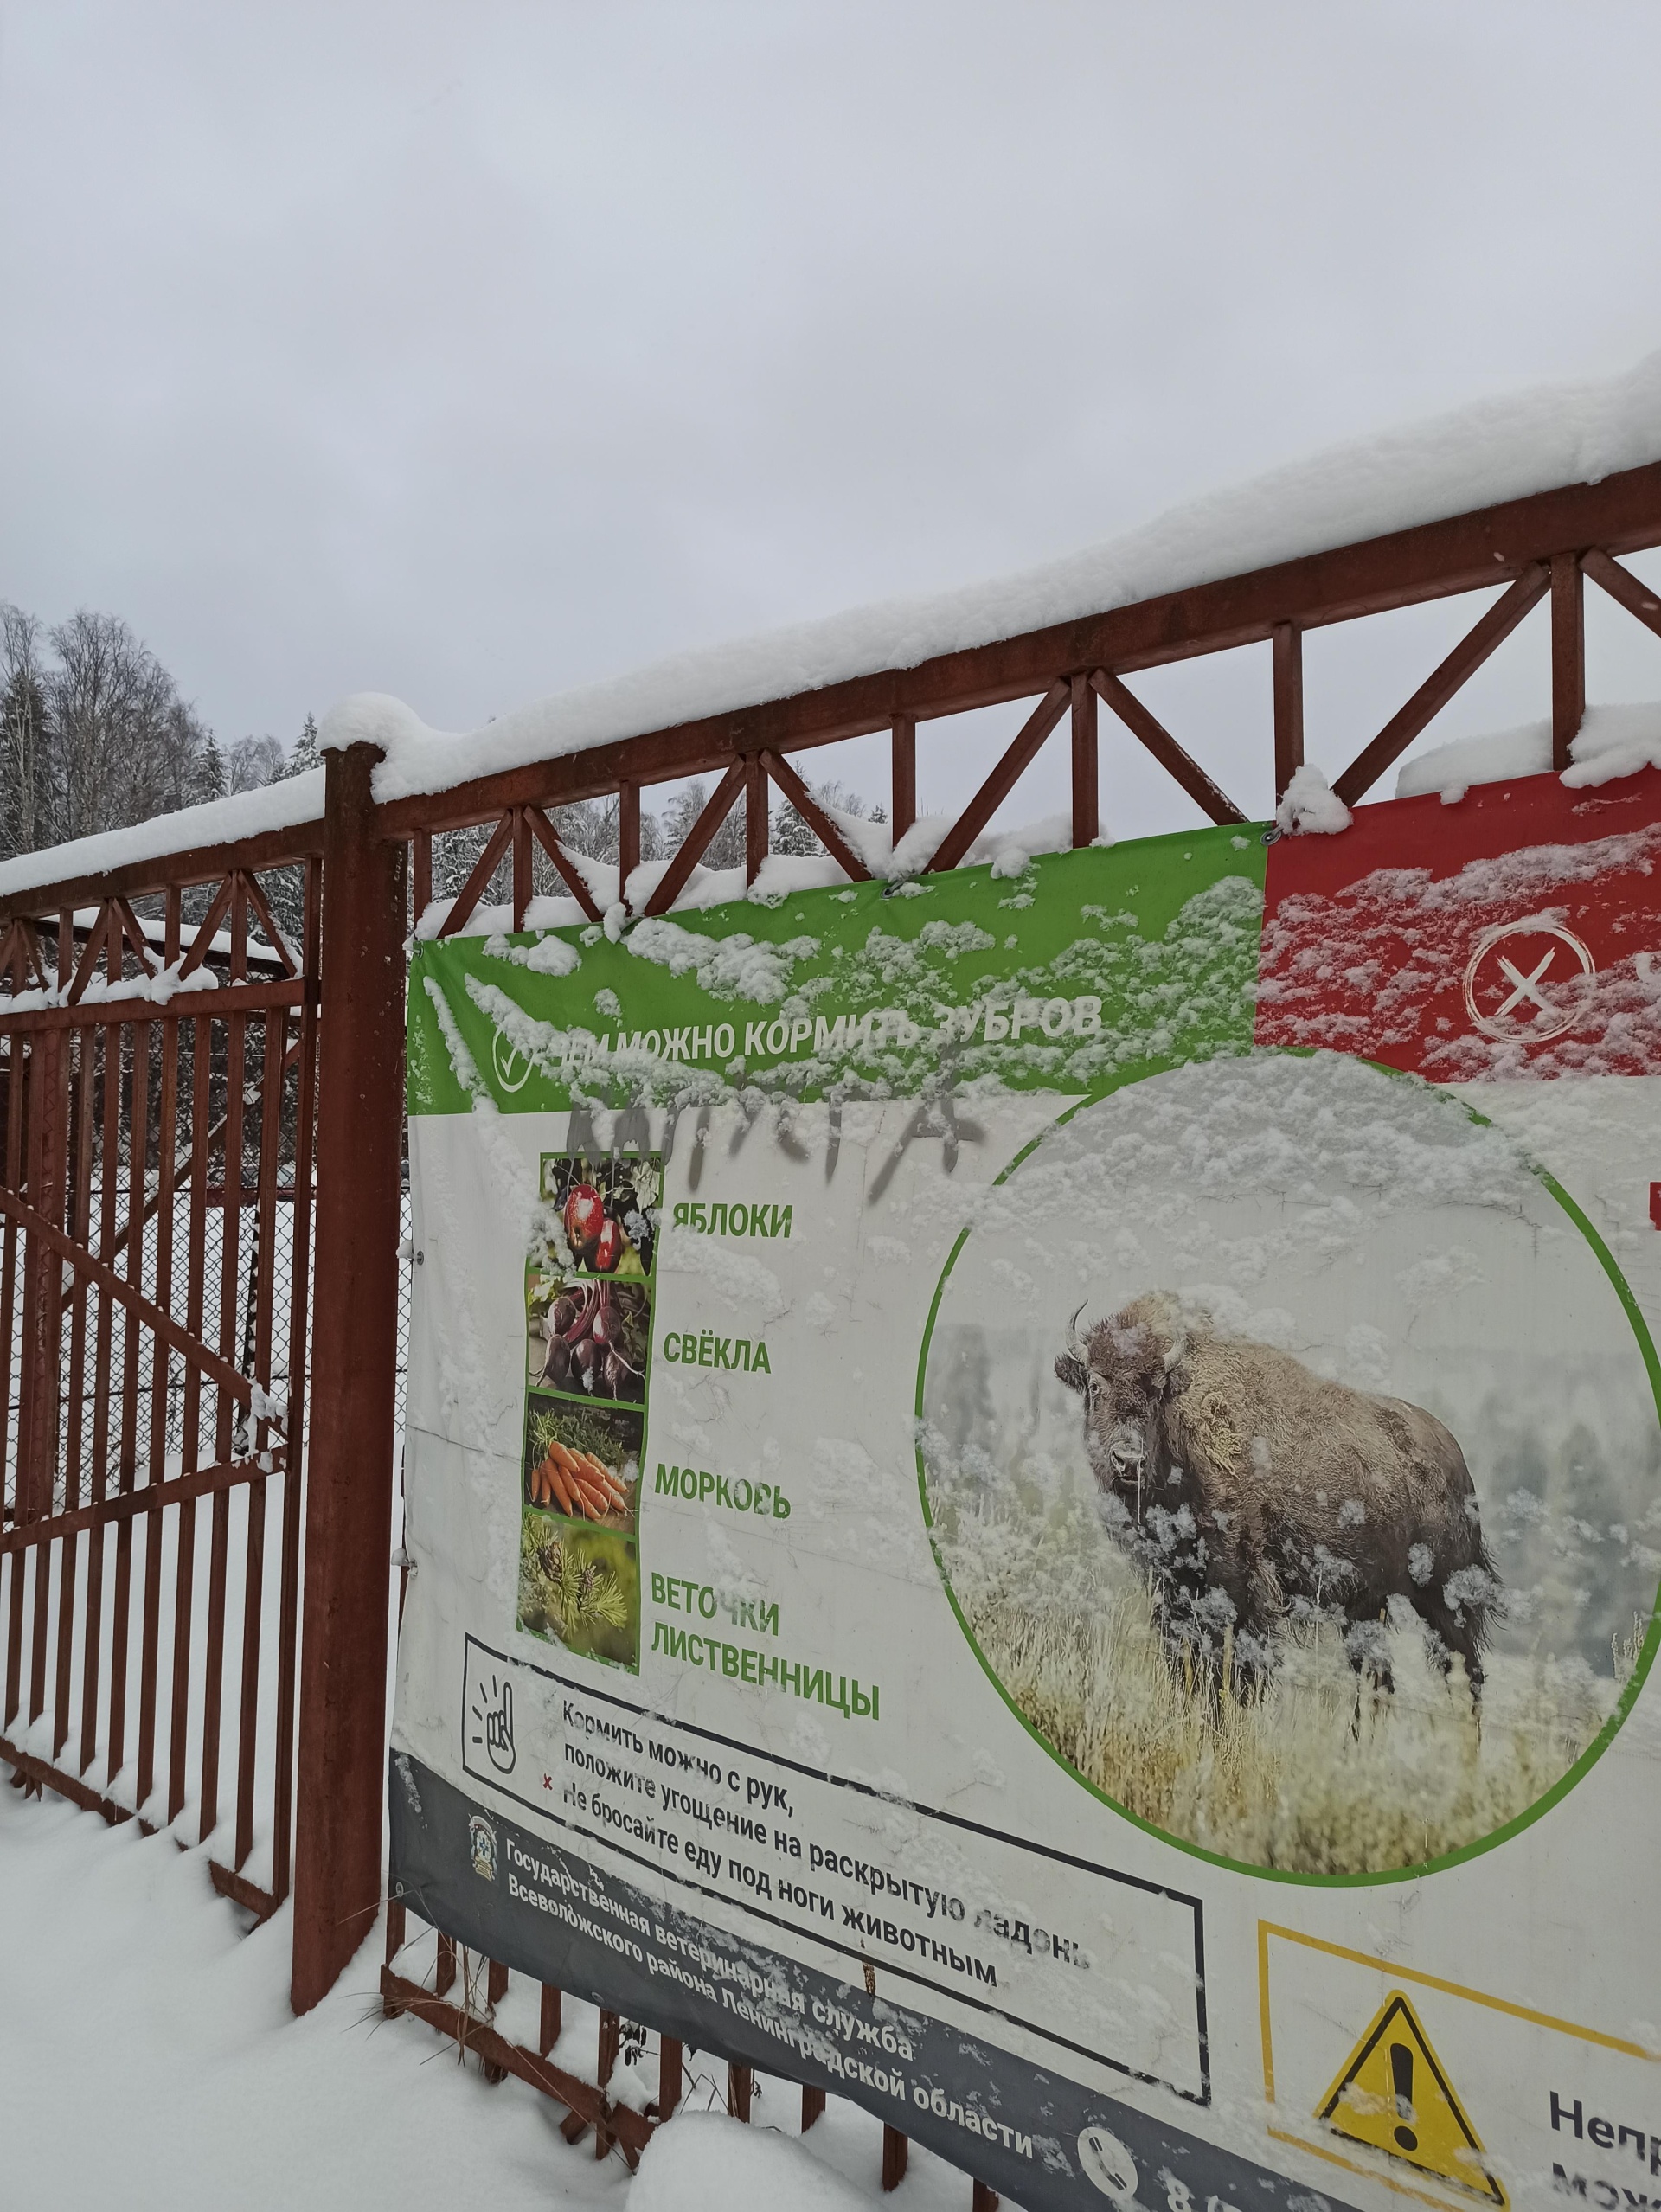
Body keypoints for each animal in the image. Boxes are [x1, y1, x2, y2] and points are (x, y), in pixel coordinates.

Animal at [1057, 1292, 1504, 1698]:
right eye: (1094, 1385)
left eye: (1156, 1390)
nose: (1128, 1461)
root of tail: (1457, 1462)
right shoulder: (1171, 1584)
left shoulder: (1242, 1584)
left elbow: (1235, 1666)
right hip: (1366, 1607)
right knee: (1378, 1681)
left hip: (1447, 1602)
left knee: (1465, 1676)